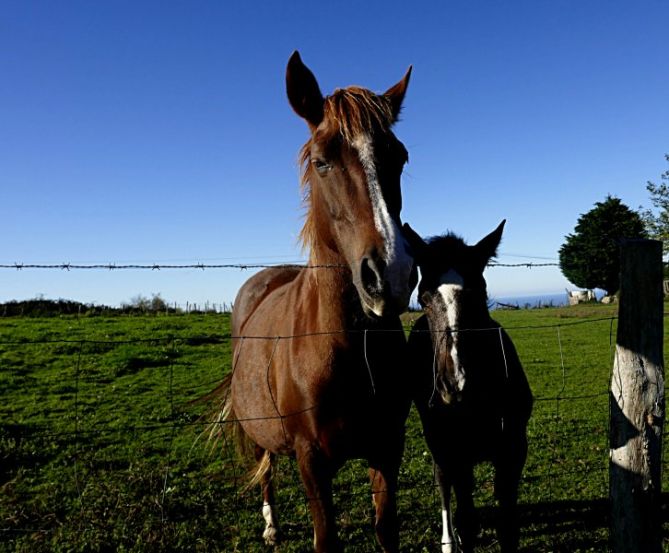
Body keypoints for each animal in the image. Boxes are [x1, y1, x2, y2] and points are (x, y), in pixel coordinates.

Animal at [215, 52, 412, 552]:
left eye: (400, 157)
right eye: (322, 162)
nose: (390, 274)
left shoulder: (388, 447)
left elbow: (386, 529)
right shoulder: (311, 460)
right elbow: (326, 539)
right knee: (265, 467)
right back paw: (270, 524)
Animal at [402, 221, 532, 552]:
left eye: (479, 293)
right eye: (422, 298)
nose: (456, 385)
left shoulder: (513, 450)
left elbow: (507, 527)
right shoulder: (453, 451)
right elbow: (466, 518)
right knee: (444, 486)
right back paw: (449, 541)